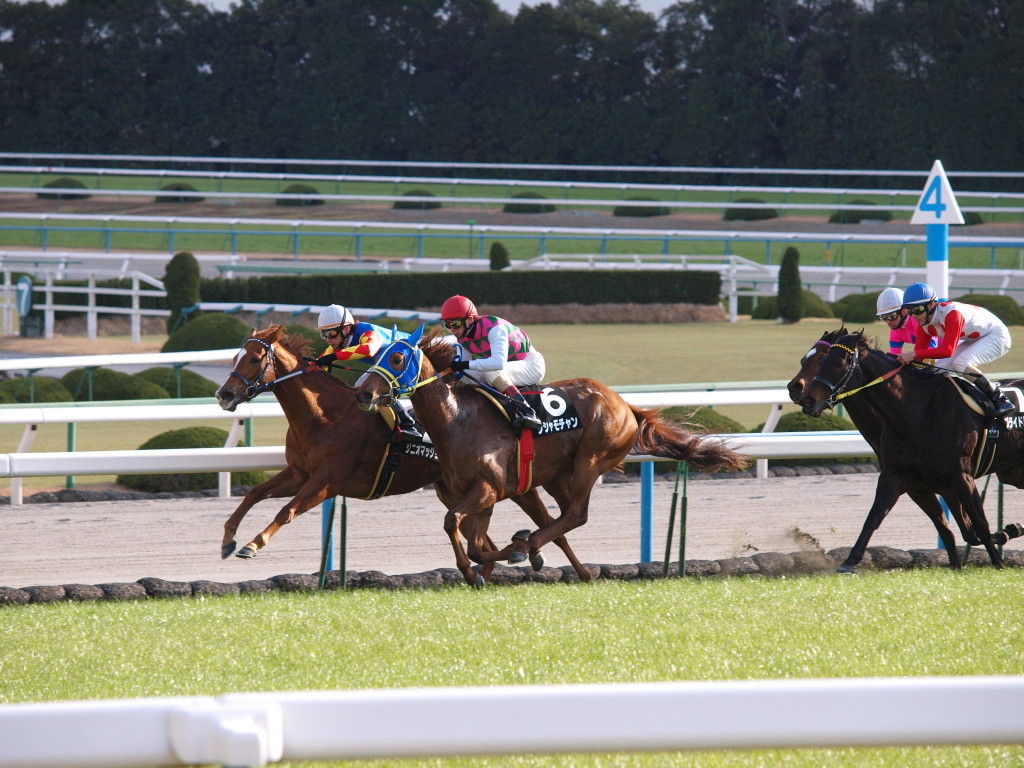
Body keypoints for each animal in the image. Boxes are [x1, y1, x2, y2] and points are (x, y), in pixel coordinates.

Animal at [214, 325, 593, 581]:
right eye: (234, 356)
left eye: (254, 358)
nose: (224, 394)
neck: (324, 414)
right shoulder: (299, 472)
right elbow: (254, 493)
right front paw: (228, 539)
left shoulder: (325, 480)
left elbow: (287, 511)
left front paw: (252, 544)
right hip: (452, 489)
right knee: (484, 535)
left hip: (512, 486)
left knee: (551, 524)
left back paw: (564, 566)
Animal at [350, 325, 745, 577]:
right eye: (377, 355)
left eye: (397, 359)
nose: (362, 393)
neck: (456, 419)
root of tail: (625, 405)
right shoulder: (483, 494)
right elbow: (474, 542)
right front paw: (480, 567)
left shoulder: (489, 488)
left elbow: (455, 525)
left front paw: (504, 555)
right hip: (555, 475)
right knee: (562, 519)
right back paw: (566, 564)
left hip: (591, 459)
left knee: (575, 515)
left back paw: (530, 546)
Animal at [790, 327, 1024, 573]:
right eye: (812, 359)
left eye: (835, 362)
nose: (804, 397)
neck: (918, 412)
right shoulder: (906, 481)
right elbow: (878, 518)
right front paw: (848, 562)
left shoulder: (960, 477)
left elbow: (978, 526)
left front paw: (999, 560)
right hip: (1012, 473)